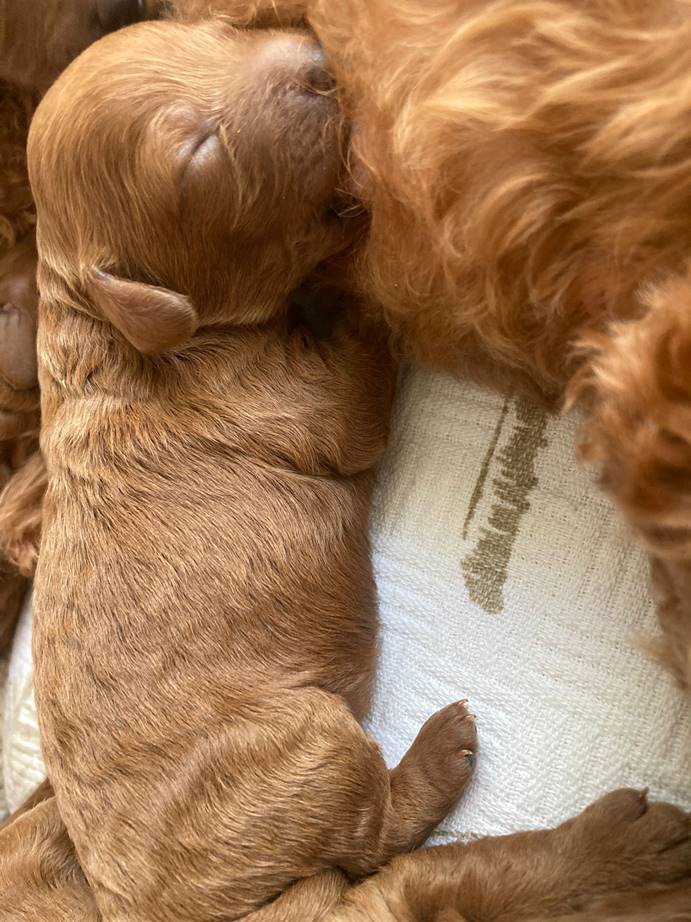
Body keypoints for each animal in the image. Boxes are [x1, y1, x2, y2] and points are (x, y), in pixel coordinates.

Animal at [28, 19, 482, 920]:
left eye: (208, 30)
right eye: (200, 153)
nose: (318, 64)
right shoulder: (289, 395)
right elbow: (357, 370)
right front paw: (361, 256)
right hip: (306, 747)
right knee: (372, 833)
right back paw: (440, 749)